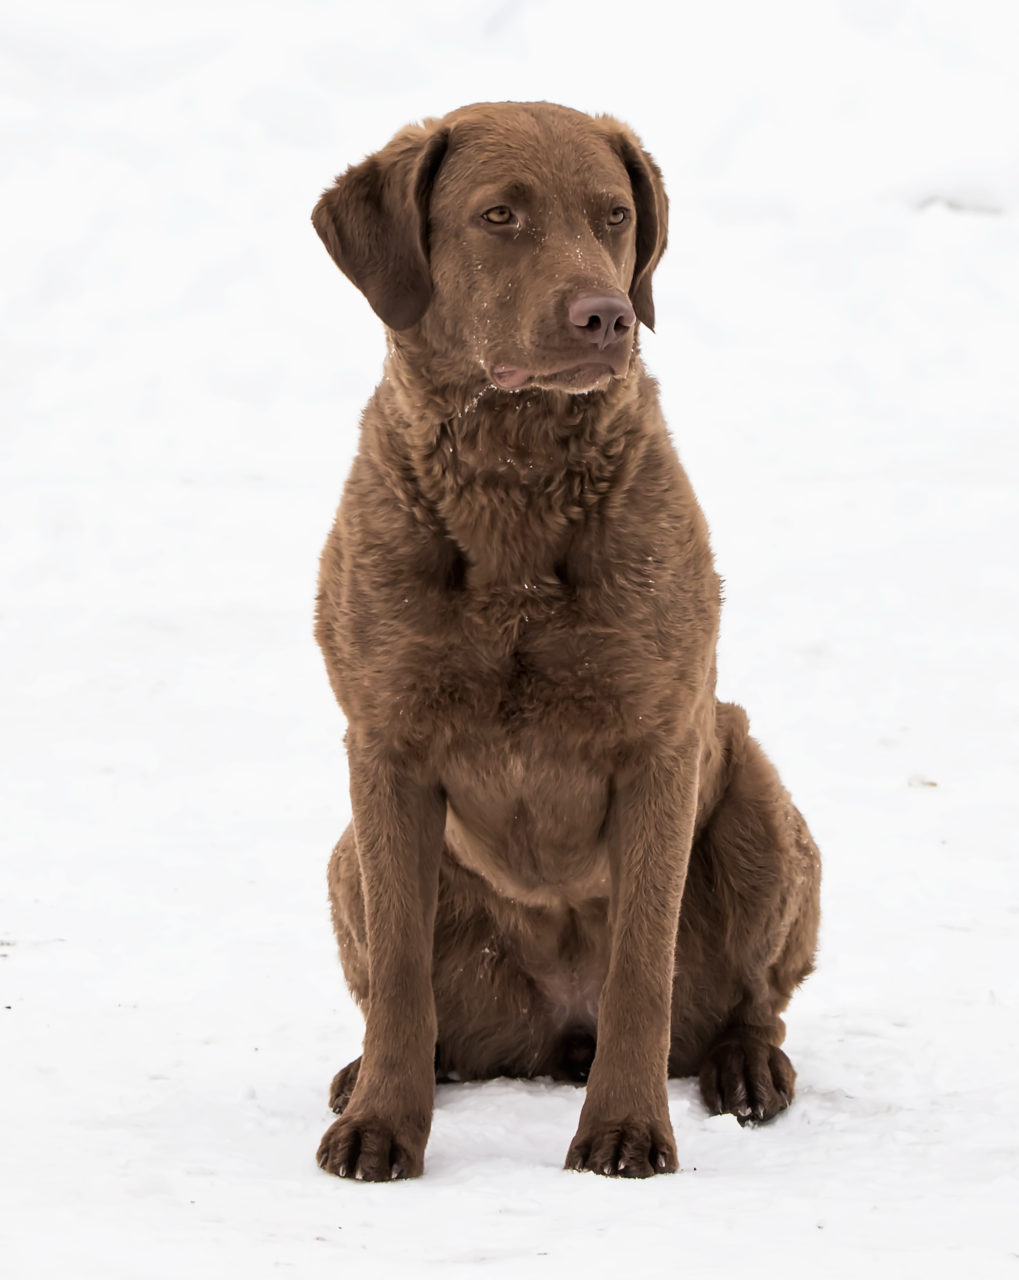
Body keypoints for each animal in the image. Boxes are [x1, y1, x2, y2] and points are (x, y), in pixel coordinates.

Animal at [308, 99, 819, 1177]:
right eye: (498, 215)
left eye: (613, 216)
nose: (607, 315)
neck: (513, 484)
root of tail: (552, 1035)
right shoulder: (383, 745)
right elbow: (401, 978)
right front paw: (380, 1124)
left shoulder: (659, 742)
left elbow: (639, 967)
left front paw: (624, 1130)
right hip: (345, 856)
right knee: (408, 999)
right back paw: (370, 1071)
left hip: (757, 792)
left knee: (751, 1002)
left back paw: (745, 1068)